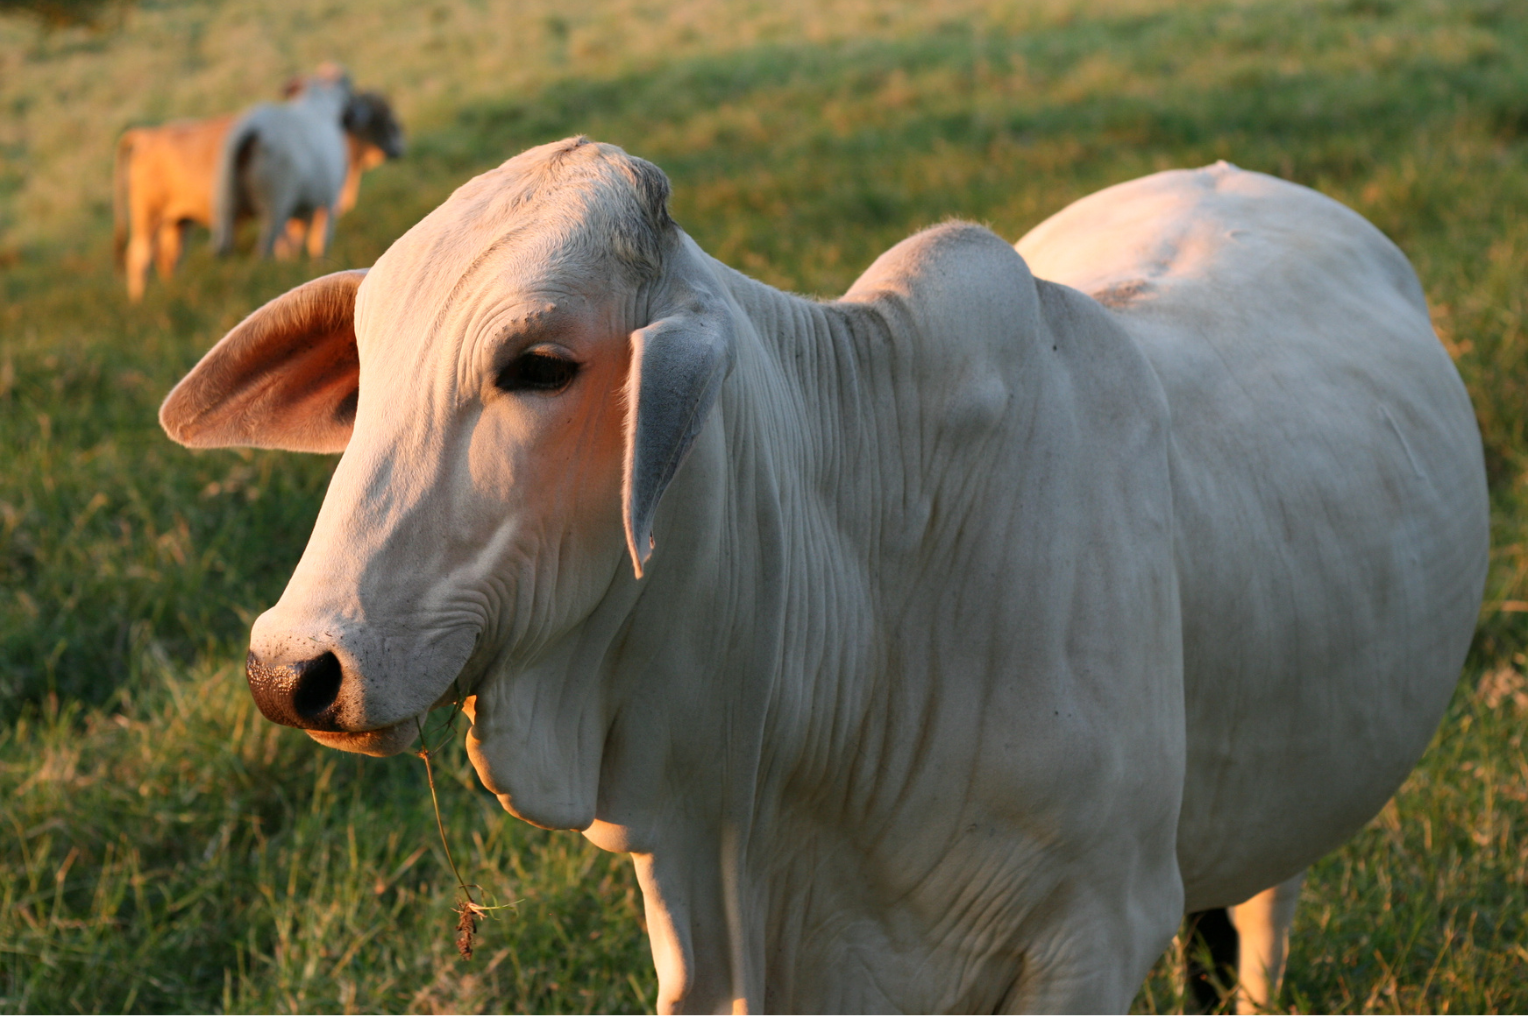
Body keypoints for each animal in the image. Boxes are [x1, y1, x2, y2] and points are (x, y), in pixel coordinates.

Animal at [113, 85, 404, 302]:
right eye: (385, 119)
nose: (399, 148)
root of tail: (146, 135)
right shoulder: (319, 205)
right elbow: (312, 244)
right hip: (150, 215)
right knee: (140, 258)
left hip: (177, 221)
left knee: (169, 259)